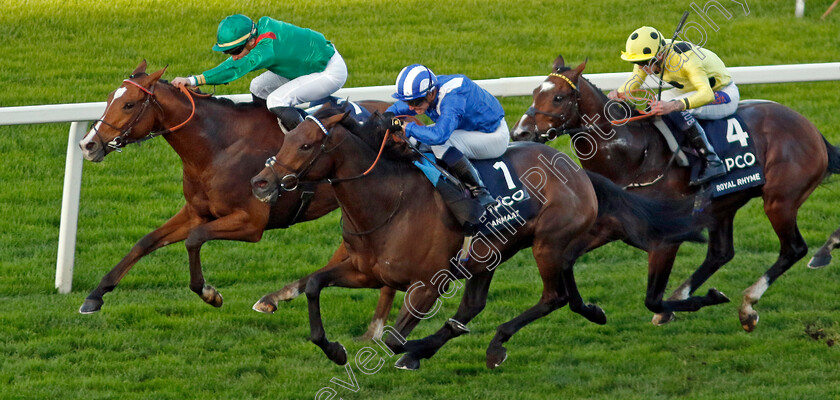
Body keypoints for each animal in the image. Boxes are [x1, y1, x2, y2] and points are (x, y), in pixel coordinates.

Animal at [75, 61, 398, 338]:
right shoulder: (196, 211)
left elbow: (195, 239)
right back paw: (281, 297)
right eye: (109, 98)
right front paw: (95, 296)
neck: (218, 146)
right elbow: (146, 242)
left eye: (129, 104)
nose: (87, 144)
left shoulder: (251, 223)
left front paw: (210, 294)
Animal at [249, 105, 704, 368]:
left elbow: (394, 338)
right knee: (484, 303)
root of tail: (575, 169)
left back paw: (487, 346)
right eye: (288, 138)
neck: (387, 201)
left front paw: (409, 349)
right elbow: (313, 285)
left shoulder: (426, 284)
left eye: (306, 145)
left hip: (546, 244)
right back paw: (590, 310)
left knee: (551, 296)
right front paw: (334, 348)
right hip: (495, 251)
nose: (260, 182)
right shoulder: (366, 272)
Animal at [508, 55, 840, 332]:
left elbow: (652, 298)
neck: (634, 155)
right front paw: (594, 311)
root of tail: (810, 129)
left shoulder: (665, 239)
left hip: (780, 200)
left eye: (558, 97)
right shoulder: (608, 226)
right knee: (721, 252)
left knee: (793, 249)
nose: (520, 133)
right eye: (535, 91)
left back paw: (749, 305)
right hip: (723, 204)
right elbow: (567, 261)